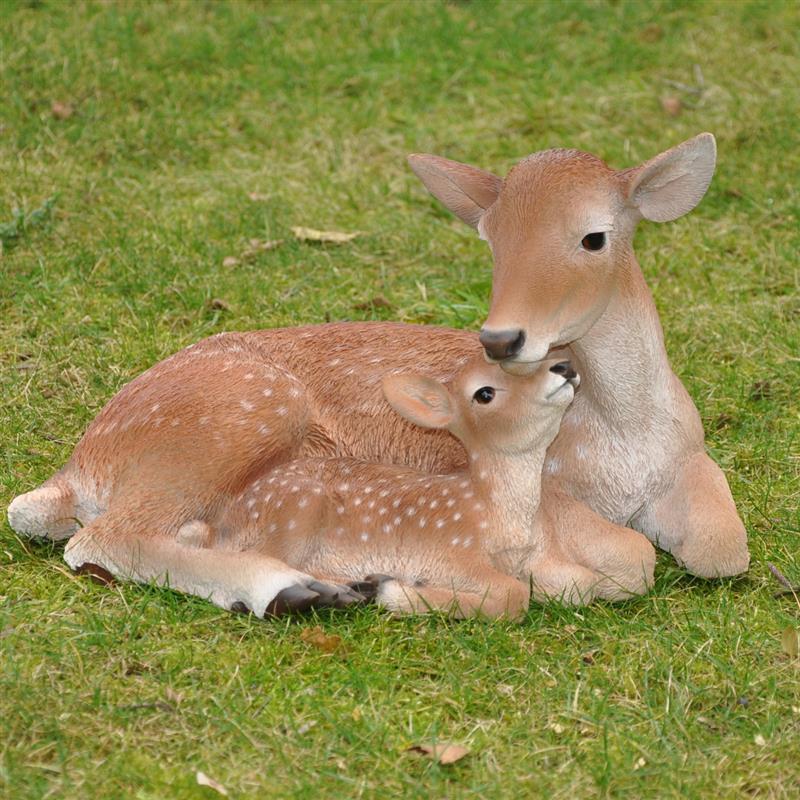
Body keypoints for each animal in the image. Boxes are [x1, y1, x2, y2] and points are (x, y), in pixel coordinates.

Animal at [8, 133, 745, 616]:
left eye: (594, 236)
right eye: (492, 242)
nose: (501, 338)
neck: (623, 437)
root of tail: (78, 467)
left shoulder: (692, 457)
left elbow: (723, 550)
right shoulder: (545, 488)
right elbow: (633, 557)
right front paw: (548, 581)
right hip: (232, 420)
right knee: (107, 537)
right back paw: (289, 588)